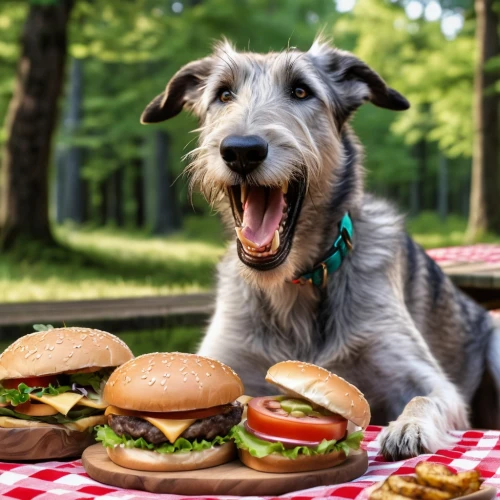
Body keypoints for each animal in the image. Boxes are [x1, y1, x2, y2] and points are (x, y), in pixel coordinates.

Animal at [139, 38, 500, 460]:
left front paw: (408, 427)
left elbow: (427, 396)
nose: (242, 150)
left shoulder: (427, 376)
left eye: (301, 90)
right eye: (223, 94)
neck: (294, 285)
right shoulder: (227, 358)